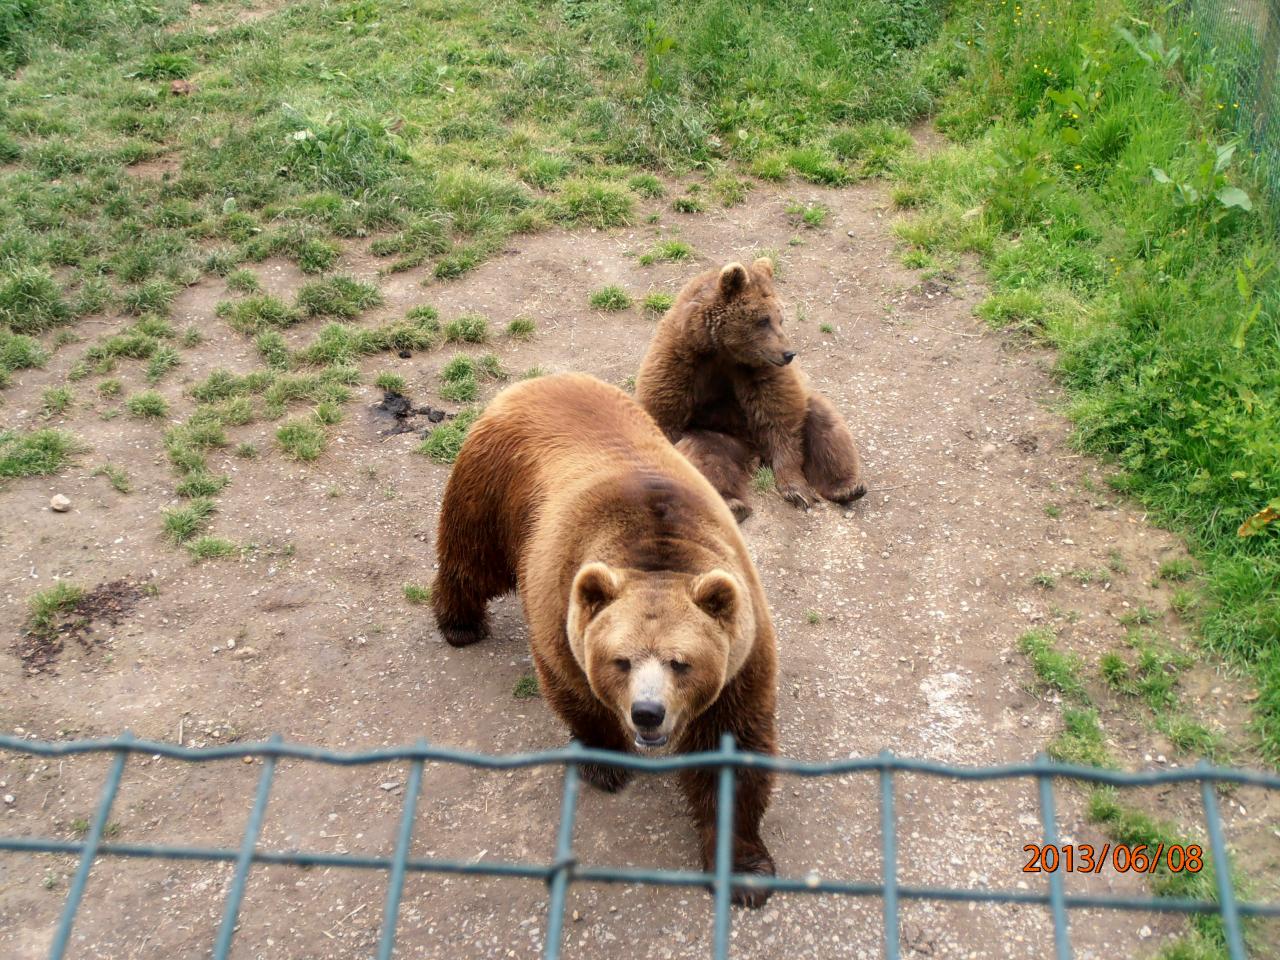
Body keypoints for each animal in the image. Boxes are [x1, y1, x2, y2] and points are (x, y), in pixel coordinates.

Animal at [432, 371, 778, 906]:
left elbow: (734, 756)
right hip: (494, 485)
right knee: (471, 556)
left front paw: (745, 870)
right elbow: (576, 691)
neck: (657, 552)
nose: (647, 713)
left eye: (682, 662)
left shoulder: (741, 660)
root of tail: (540, 379)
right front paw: (607, 765)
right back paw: (459, 623)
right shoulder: (562, 609)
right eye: (621, 660)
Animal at [634, 259, 865, 522]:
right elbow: (663, 408)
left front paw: (796, 488)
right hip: (722, 436)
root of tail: (755, 453)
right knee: (705, 455)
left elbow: (780, 414)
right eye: (763, 320)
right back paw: (733, 504)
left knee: (824, 423)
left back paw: (847, 487)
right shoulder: (681, 357)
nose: (788, 353)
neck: (722, 349)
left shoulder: (759, 369)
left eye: (780, 319)